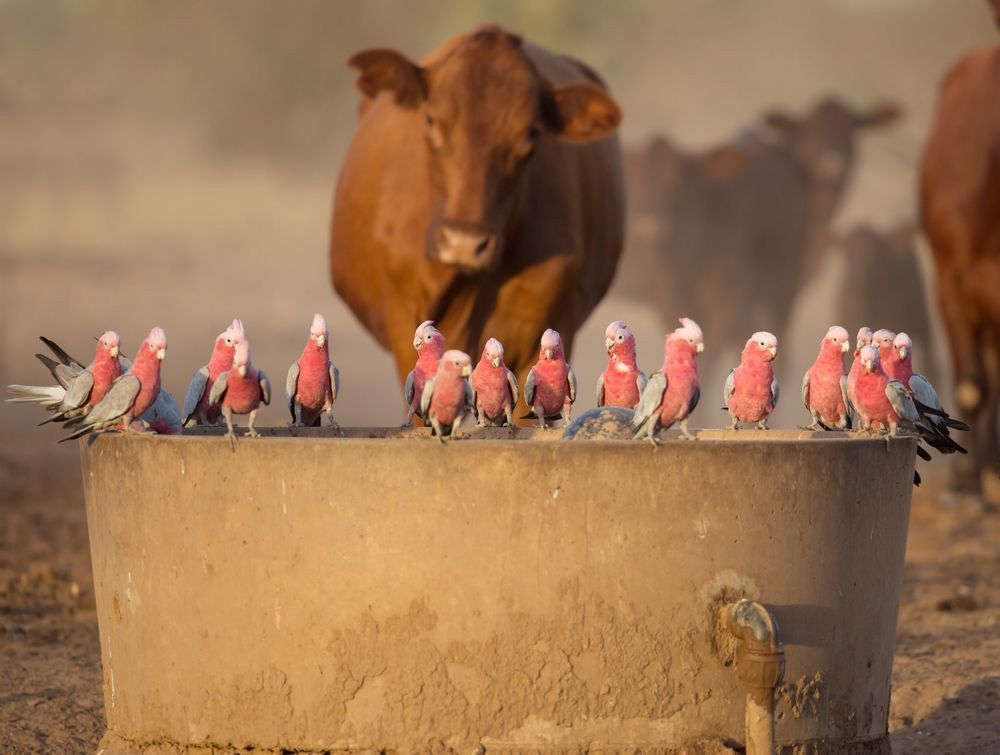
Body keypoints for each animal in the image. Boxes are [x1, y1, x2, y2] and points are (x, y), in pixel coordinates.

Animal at [617, 97, 900, 380]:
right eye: (636, 181)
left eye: (677, 183)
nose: (648, 227)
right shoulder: (667, 293)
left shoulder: (736, 297)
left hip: (781, 290)